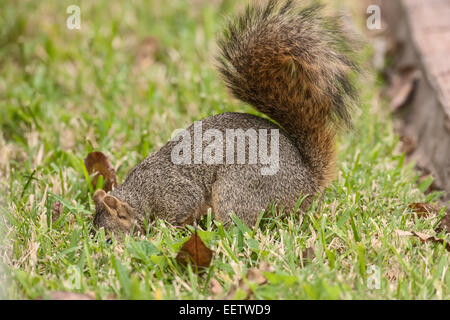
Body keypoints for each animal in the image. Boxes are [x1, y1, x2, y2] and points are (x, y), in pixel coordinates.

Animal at [92, 0, 358, 235]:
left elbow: (183, 211)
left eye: (108, 237)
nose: (103, 250)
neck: (143, 194)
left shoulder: (176, 195)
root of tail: (308, 184)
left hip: (237, 188)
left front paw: (169, 231)